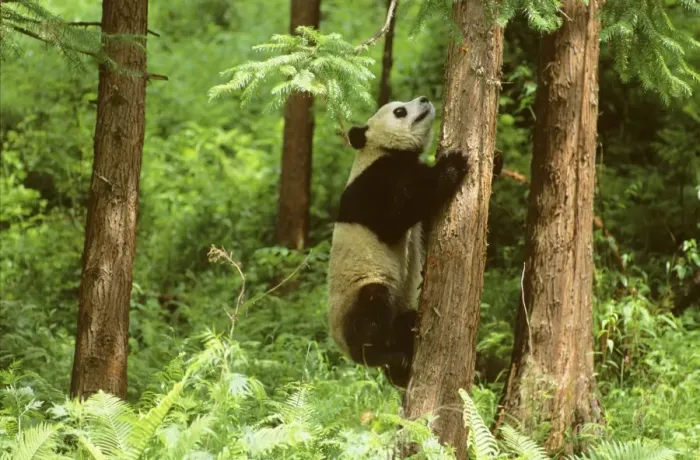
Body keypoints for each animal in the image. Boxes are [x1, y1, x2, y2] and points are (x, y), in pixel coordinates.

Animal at [327, 96, 468, 388]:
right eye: (400, 111)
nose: (424, 99)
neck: (382, 150)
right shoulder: (371, 183)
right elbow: (394, 218)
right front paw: (453, 164)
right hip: (357, 293)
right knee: (371, 306)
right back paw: (383, 355)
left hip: (400, 308)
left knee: (405, 321)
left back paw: (399, 369)